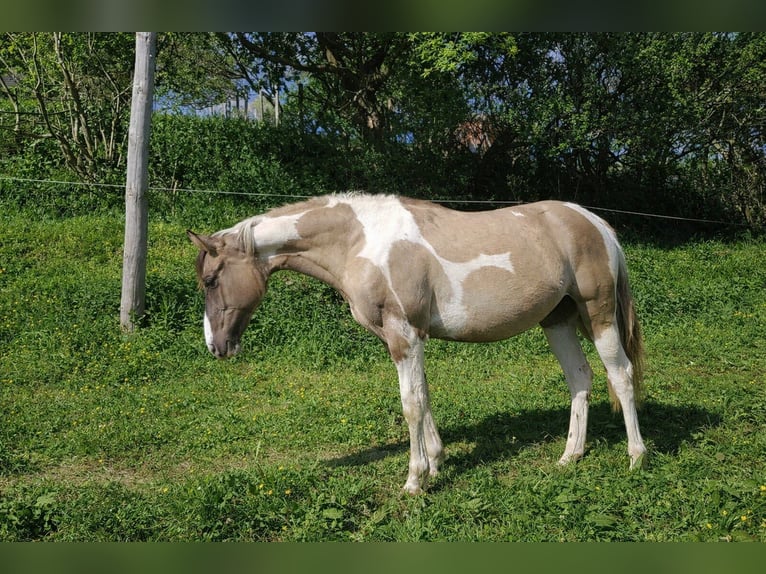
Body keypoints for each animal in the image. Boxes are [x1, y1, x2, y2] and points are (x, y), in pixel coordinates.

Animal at [187, 192, 647, 494]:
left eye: (210, 280)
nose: (216, 346)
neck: (360, 241)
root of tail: (595, 223)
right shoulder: (411, 340)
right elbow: (423, 397)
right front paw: (436, 464)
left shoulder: (403, 336)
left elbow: (410, 404)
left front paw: (413, 480)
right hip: (558, 321)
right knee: (580, 378)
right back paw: (570, 456)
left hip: (599, 314)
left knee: (620, 375)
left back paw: (636, 456)